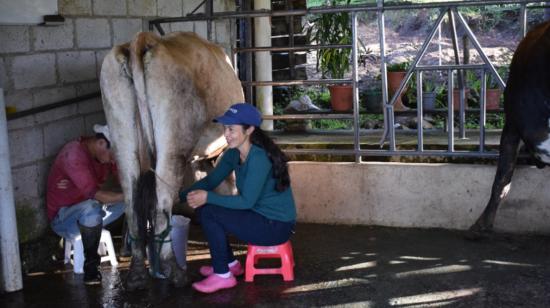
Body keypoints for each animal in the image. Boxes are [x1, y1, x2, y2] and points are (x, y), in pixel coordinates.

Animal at [99, 32, 246, 290]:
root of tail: (141, 41)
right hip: (173, 143)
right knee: (161, 206)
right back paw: (174, 271)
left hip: (123, 140)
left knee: (133, 205)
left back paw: (137, 274)